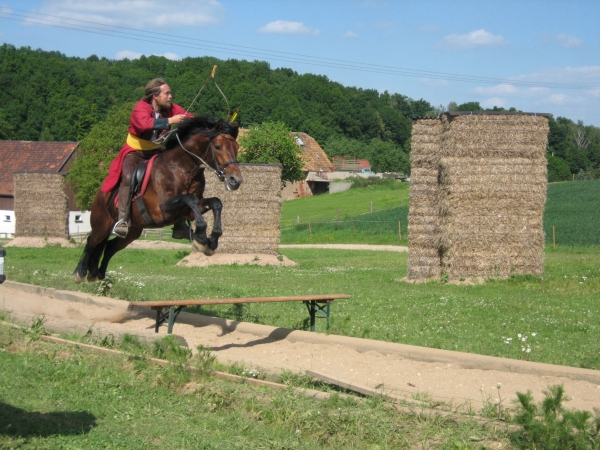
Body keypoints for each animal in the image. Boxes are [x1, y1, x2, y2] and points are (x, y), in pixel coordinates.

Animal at [74, 117, 243, 284]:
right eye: (218, 147)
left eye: (236, 147)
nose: (235, 180)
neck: (183, 168)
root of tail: (101, 194)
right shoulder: (164, 208)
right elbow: (191, 199)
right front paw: (201, 237)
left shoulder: (191, 210)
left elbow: (215, 203)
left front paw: (212, 239)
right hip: (102, 223)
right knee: (92, 241)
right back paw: (80, 273)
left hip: (133, 231)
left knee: (109, 246)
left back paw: (98, 274)